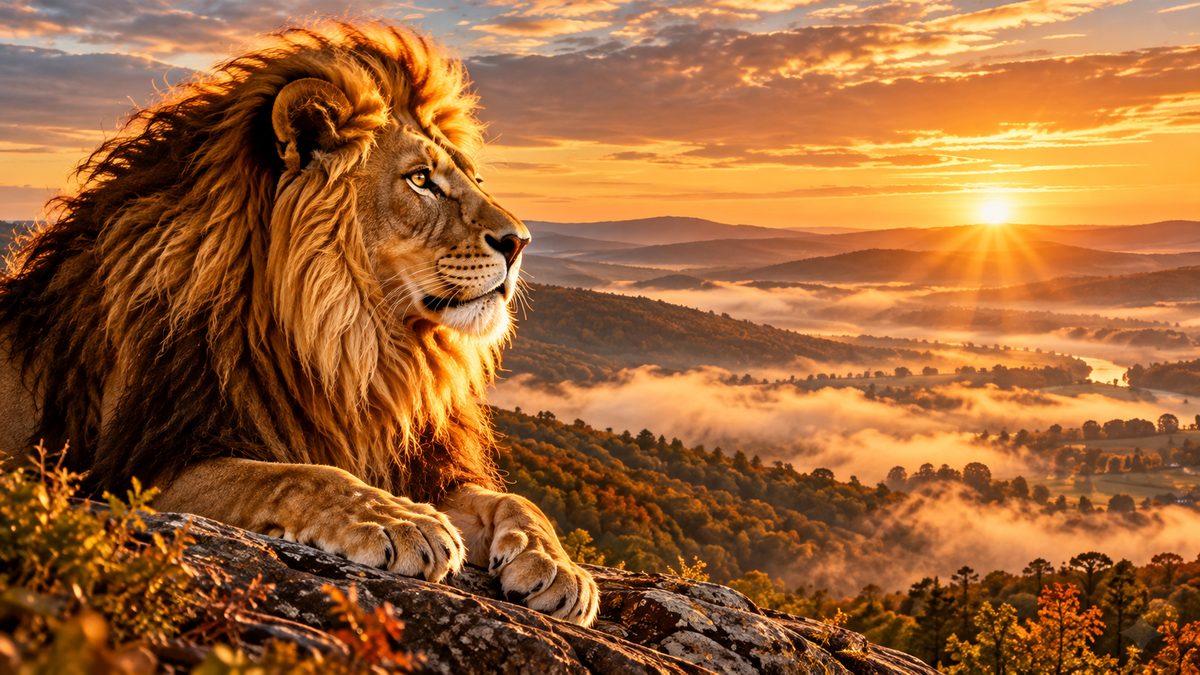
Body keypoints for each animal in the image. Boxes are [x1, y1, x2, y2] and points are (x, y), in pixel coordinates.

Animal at [0, 21, 598, 626]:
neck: (356, 348)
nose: (520, 242)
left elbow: (515, 499)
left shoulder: (407, 457)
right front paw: (399, 521)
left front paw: (560, 567)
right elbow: (294, 474)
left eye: (473, 178)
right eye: (420, 179)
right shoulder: (136, 469)